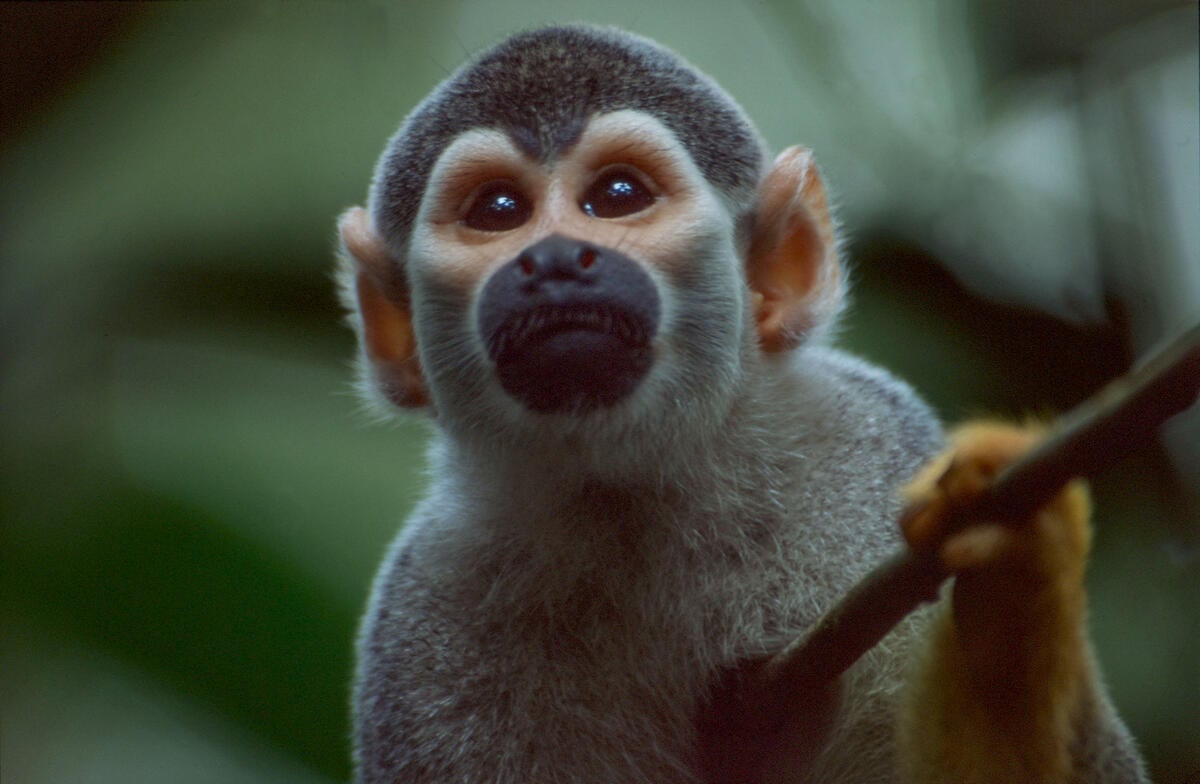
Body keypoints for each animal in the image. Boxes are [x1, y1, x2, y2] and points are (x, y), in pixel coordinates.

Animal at [336, 24, 1142, 782]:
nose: (556, 259)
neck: (634, 493)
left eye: (618, 197)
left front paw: (1014, 586)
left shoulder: (872, 454)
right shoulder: (423, 614)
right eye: (498, 210)